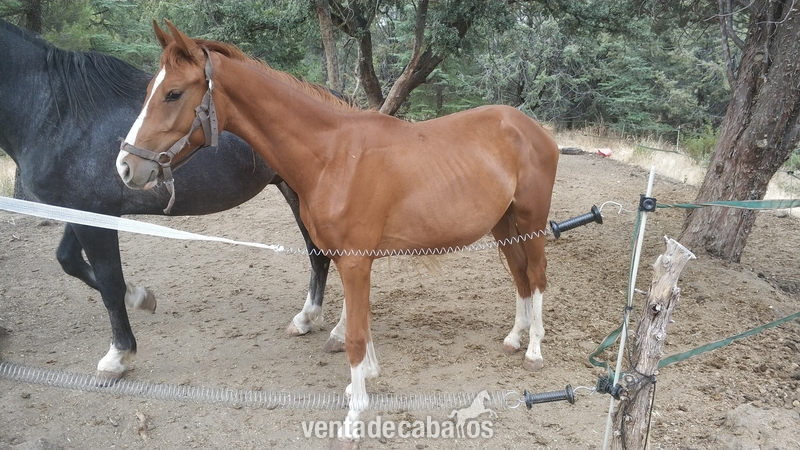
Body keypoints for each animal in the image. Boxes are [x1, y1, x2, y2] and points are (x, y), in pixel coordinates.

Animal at [0, 19, 351, 381]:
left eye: (173, 94)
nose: (124, 166)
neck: (58, 114)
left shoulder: (93, 214)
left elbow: (109, 283)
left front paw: (119, 354)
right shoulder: (83, 212)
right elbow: (71, 261)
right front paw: (141, 297)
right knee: (319, 256)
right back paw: (306, 319)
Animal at [117, 20, 558, 444]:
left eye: (173, 93)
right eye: (150, 90)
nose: (125, 166)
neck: (333, 156)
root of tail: (534, 128)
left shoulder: (355, 261)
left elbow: (356, 337)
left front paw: (354, 418)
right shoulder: (352, 261)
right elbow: (359, 324)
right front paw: (365, 380)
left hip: (531, 222)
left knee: (536, 278)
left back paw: (534, 352)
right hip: (504, 226)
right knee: (520, 278)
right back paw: (514, 338)